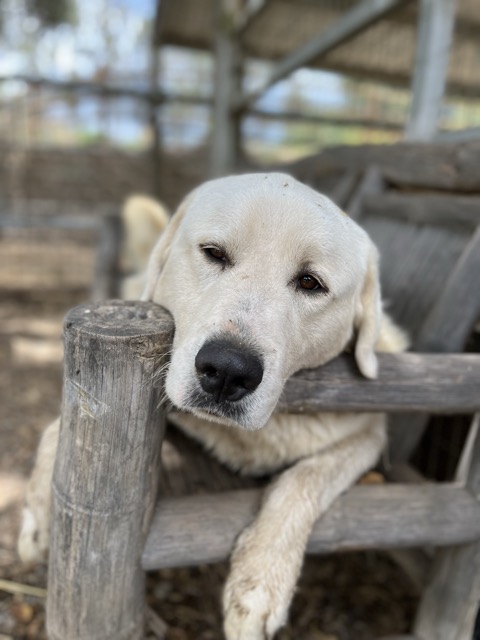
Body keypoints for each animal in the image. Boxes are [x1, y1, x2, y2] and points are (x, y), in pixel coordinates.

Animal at [20, 172, 406, 640]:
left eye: (310, 282)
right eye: (214, 253)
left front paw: (259, 582)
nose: (227, 371)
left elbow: (303, 479)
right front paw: (37, 516)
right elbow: (57, 426)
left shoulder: (370, 434)